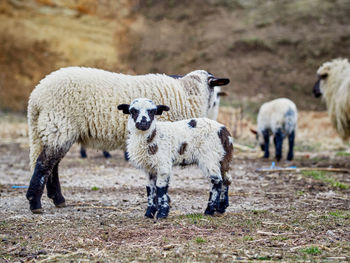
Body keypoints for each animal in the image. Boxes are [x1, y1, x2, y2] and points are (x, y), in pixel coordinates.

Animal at [26, 67, 230, 213]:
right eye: (215, 90)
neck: (187, 94)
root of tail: (36, 96)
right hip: (60, 125)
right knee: (44, 163)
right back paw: (35, 203)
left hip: (53, 129)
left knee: (52, 165)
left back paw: (57, 199)